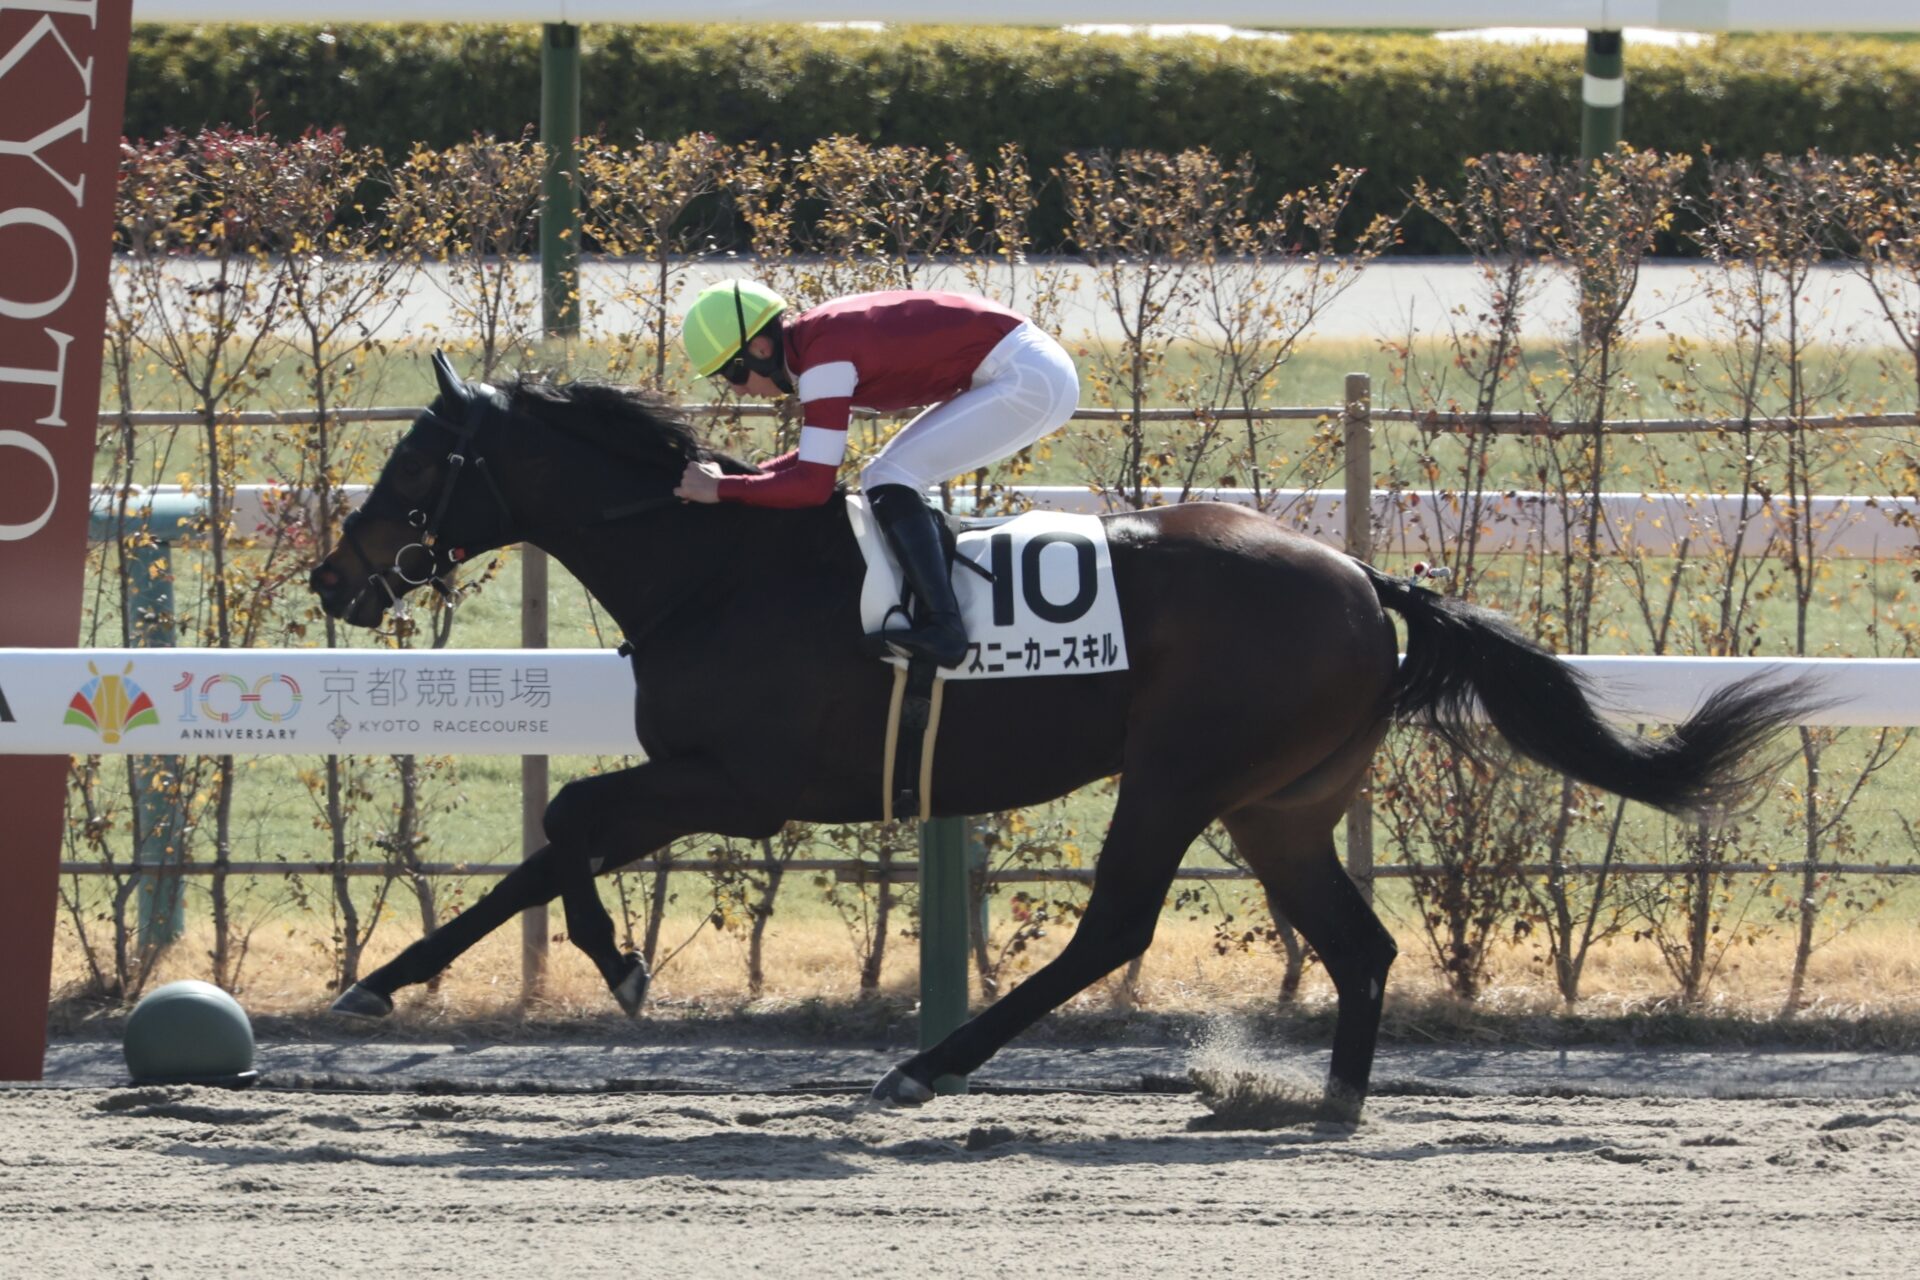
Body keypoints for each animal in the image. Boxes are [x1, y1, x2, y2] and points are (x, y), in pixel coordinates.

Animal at [303, 355, 1812, 1113]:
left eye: (417, 461)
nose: (334, 576)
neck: (713, 565)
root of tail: (1361, 578)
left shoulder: (745, 783)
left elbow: (567, 823)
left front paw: (588, 967)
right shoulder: (711, 781)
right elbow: (551, 842)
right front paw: (405, 982)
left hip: (1182, 771)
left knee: (1116, 928)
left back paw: (926, 1064)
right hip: (1280, 803)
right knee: (1360, 943)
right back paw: (1324, 1099)